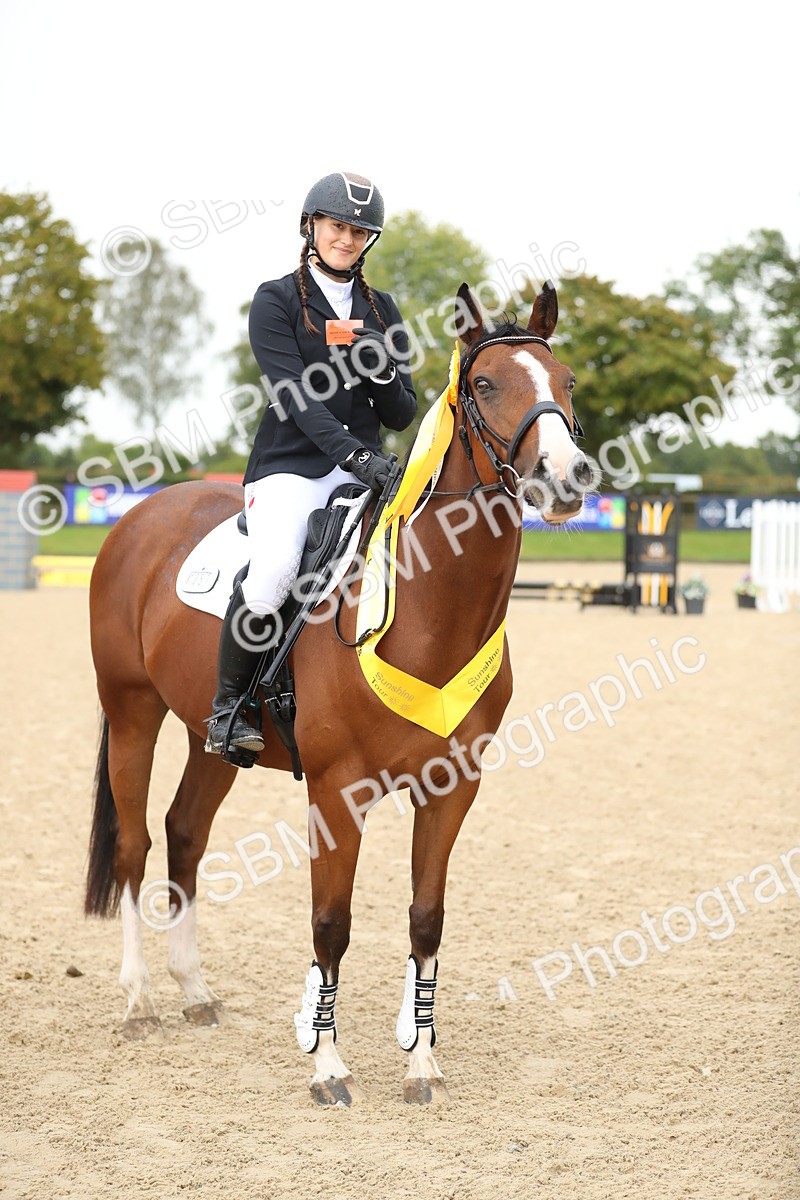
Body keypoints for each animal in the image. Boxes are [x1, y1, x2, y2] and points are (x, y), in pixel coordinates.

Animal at [85, 280, 591, 1105]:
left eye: (567, 381)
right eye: (485, 385)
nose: (568, 475)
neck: (430, 609)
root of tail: (141, 516)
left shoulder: (452, 788)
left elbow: (426, 919)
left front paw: (422, 1065)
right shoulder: (336, 793)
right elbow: (331, 923)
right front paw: (327, 1066)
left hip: (208, 737)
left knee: (185, 834)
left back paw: (194, 993)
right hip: (133, 710)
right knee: (134, 847)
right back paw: (138, 1004)